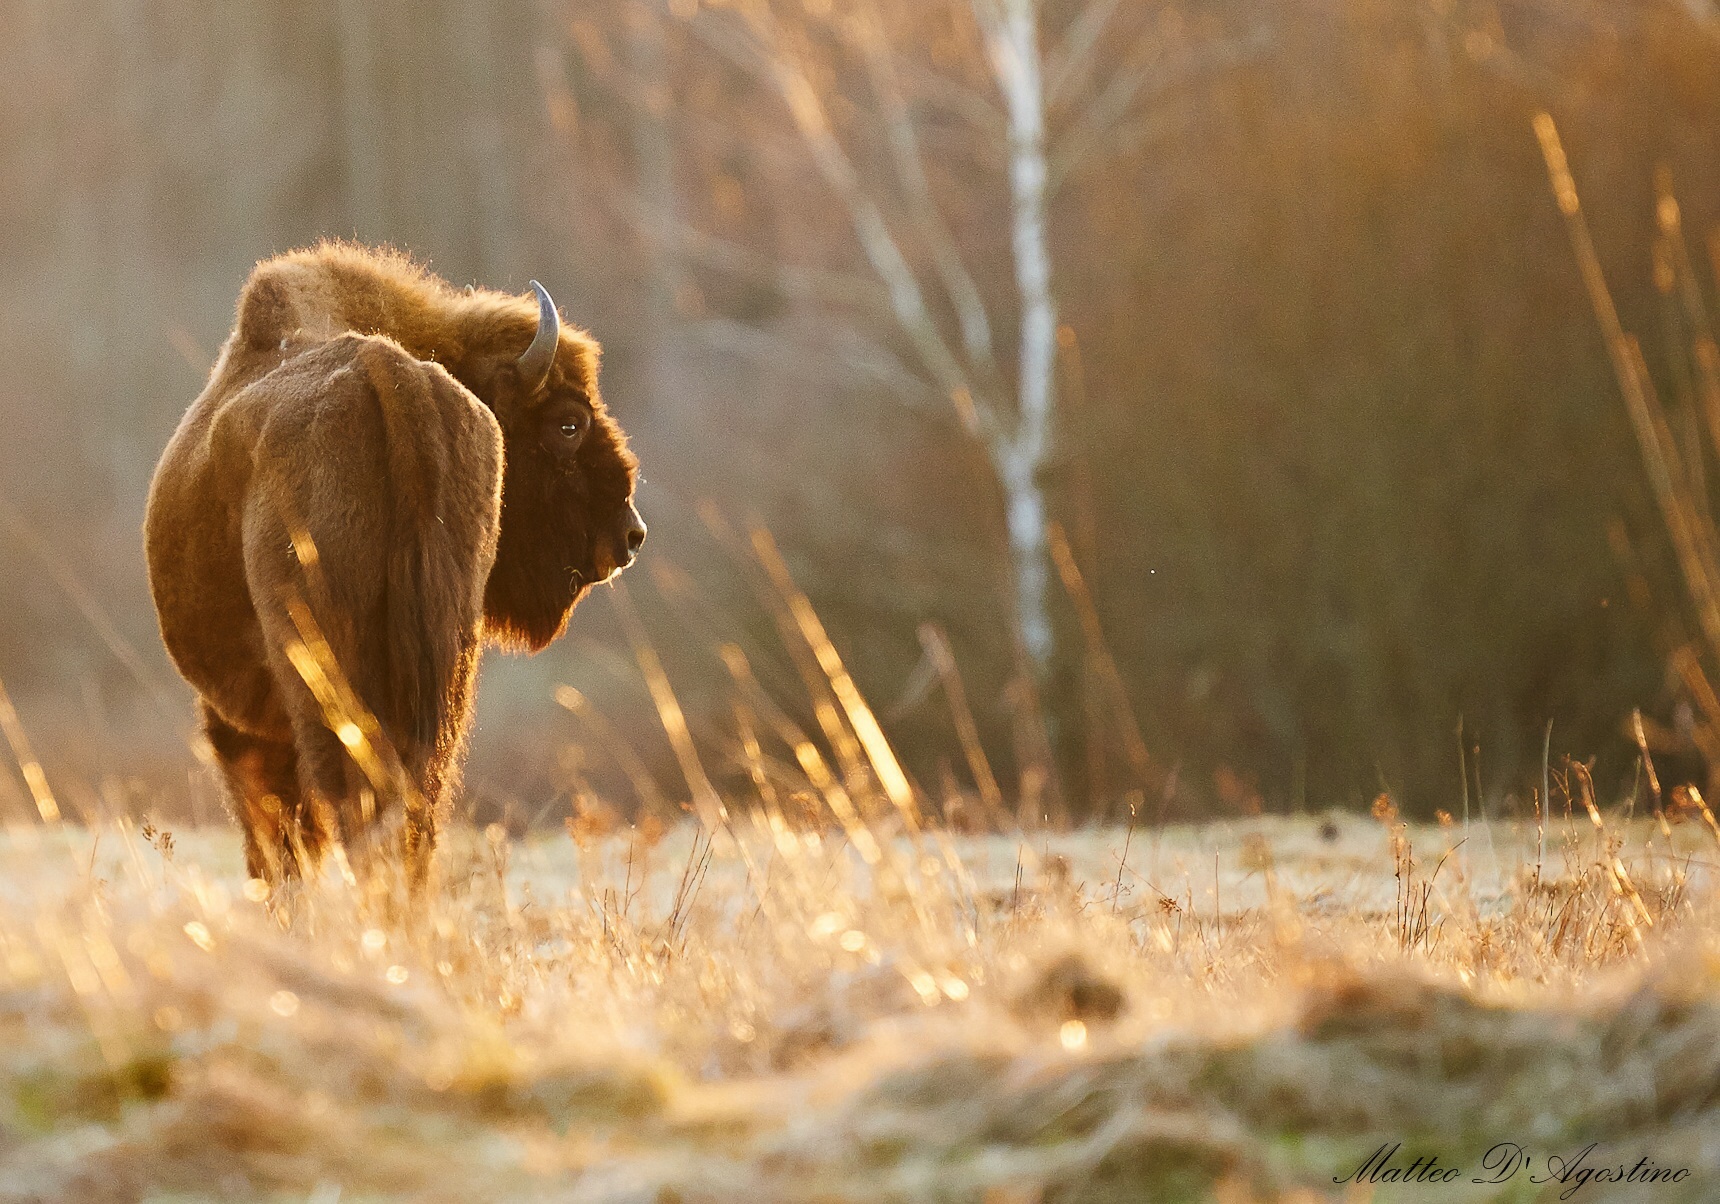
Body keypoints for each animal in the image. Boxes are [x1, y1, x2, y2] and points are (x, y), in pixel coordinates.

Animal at [145, 243, 644, 885]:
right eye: (568, 423)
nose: (629, 535)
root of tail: (389, 374)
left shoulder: (238, 721)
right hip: (445, 672)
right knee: (416, 807)